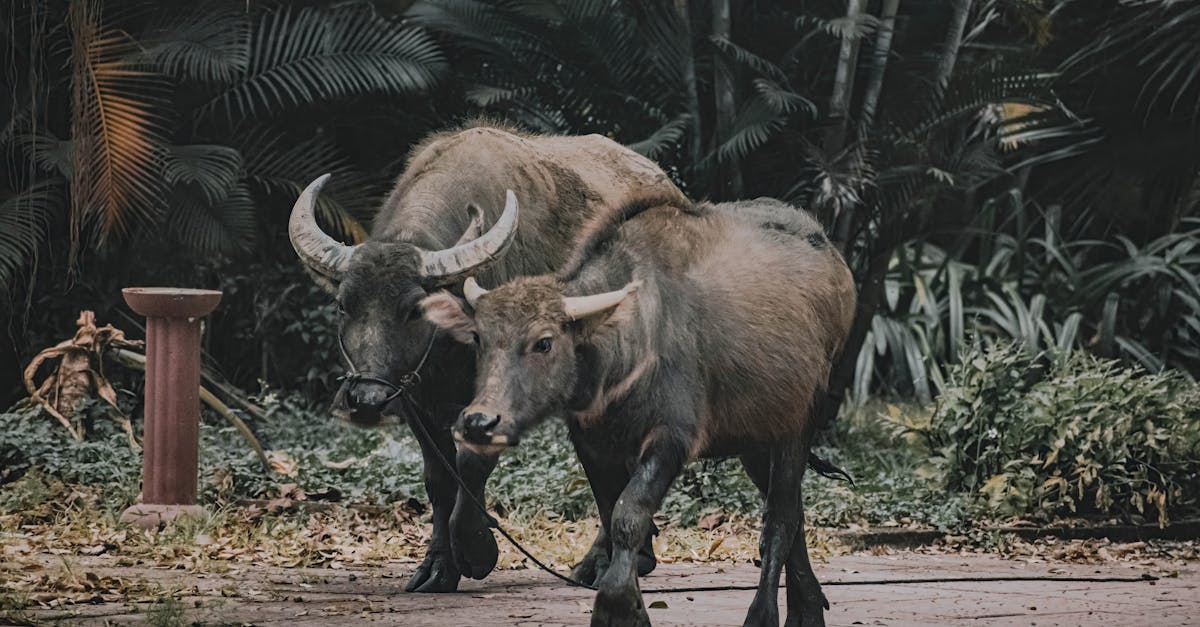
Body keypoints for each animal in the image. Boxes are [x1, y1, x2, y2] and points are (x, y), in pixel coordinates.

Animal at [285, 121, 691, 590]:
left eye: (413, 309)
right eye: (342, 305)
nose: (365, 399)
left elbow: (472, 463)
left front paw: (476, 553)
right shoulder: (413, 398)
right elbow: (438, 478)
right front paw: (438, 567)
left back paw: (608, 561)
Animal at [422, 196, 854, 624]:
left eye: (544, 342)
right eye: (479, 338)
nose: (479, 422)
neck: (625, 342)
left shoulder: (670, 438)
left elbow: (629, 515)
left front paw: (617, 606)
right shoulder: (593, 442)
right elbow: (609, 513)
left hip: (797, 428)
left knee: (780, 522)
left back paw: (763, 615)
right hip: (756, 442)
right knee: (794, 519)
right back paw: (807, 609)